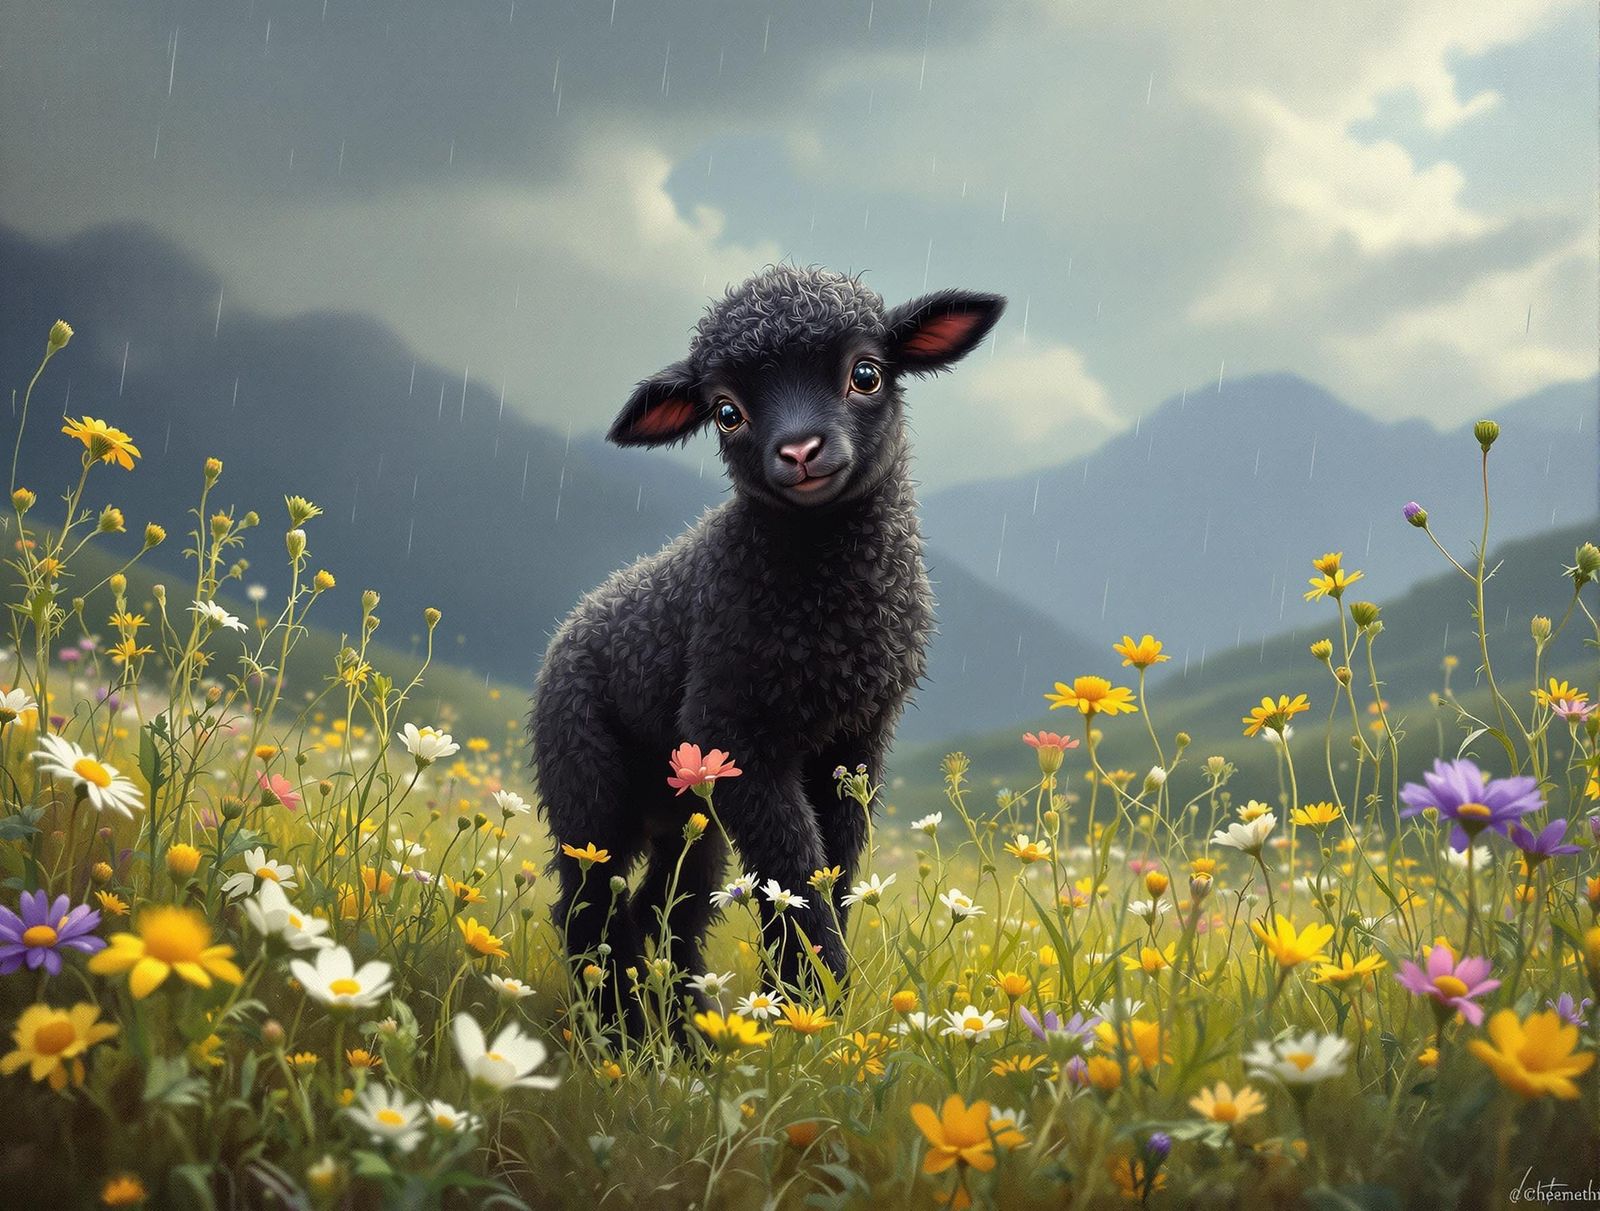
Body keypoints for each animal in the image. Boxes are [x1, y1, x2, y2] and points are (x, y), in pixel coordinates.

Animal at [532, 266, 1004, 1029]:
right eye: (727, 412)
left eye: (866, 373)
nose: (801, 450)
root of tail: (569, 625)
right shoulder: (733, 727)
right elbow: (792, 865)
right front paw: (814, 993)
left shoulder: (856, 740)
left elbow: (833, 864)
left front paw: (806, 1008)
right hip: (589, 781)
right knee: (589, 905)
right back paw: (618, 1027)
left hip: (688, 812)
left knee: (664, 907)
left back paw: (684, 1027)